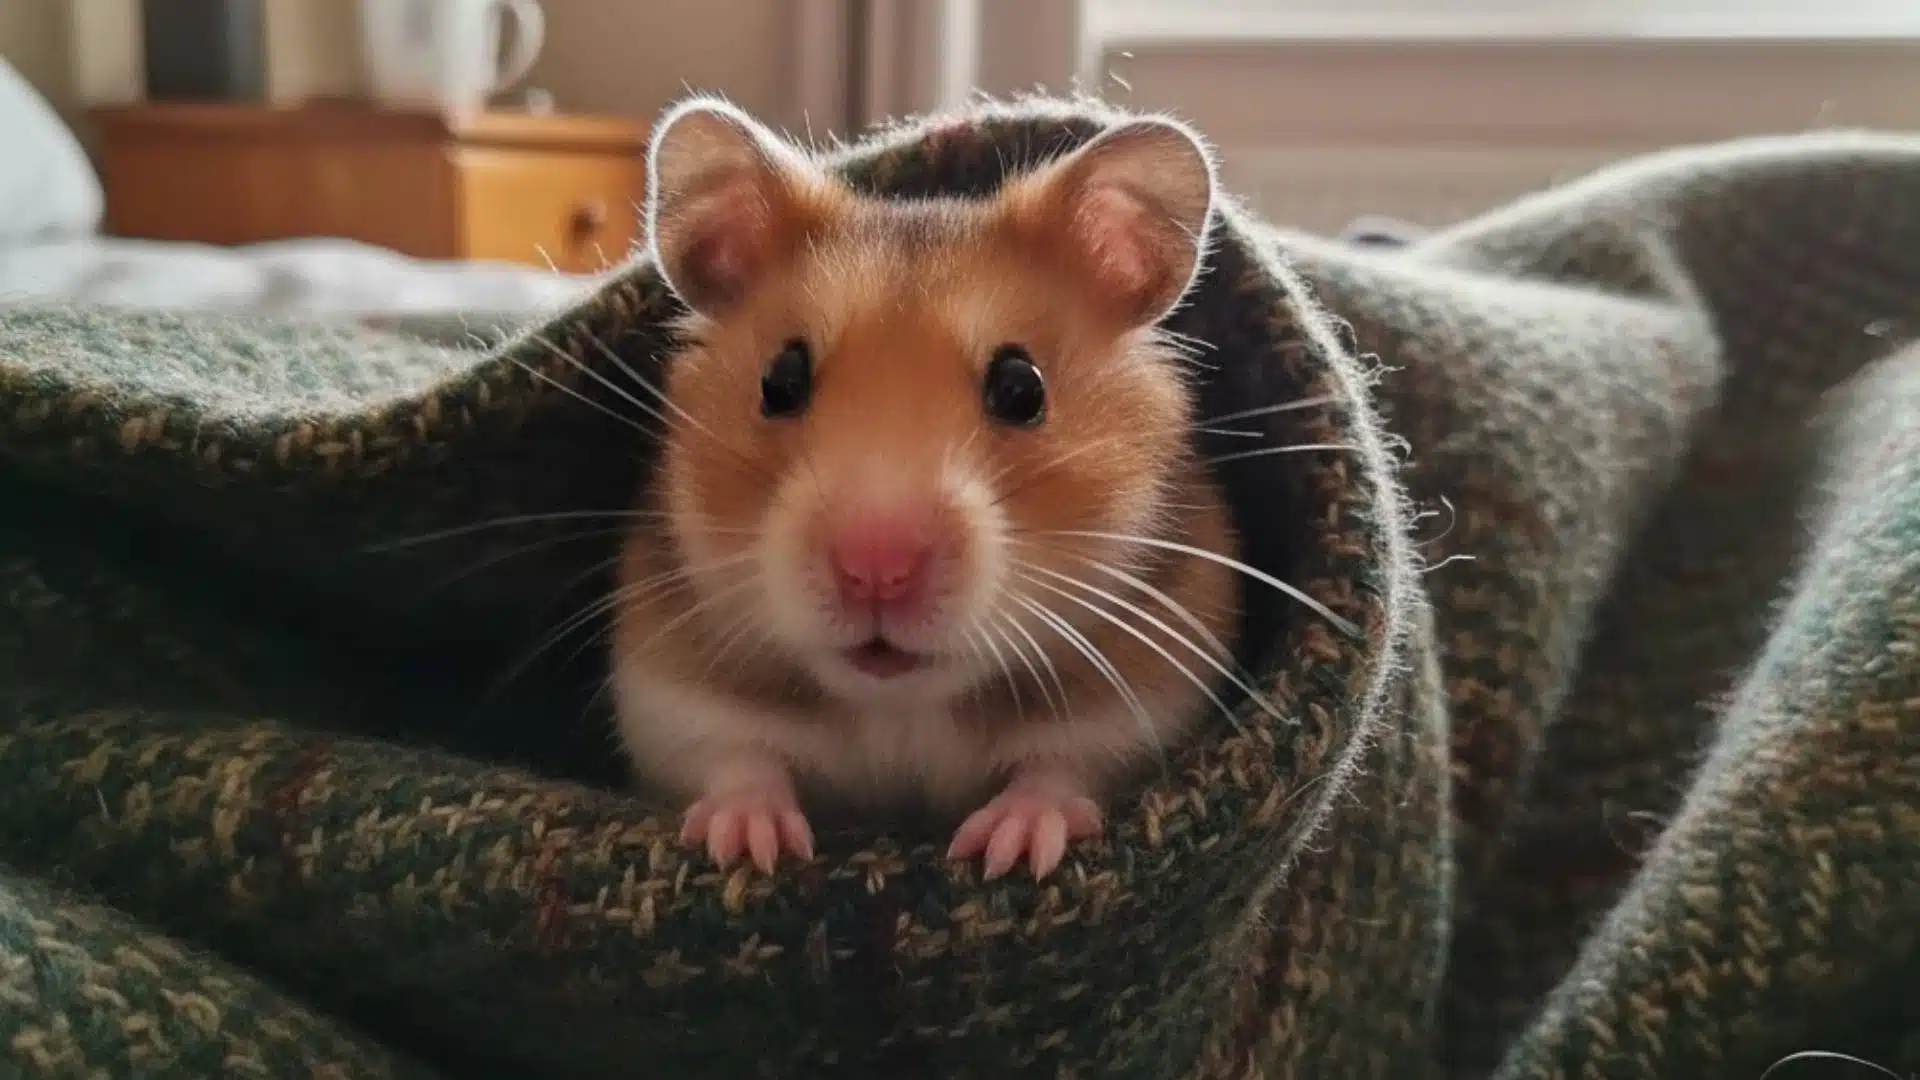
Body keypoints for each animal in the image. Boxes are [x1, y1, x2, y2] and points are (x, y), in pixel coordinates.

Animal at [610, 98, 1240, 881]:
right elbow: (734, 757)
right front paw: (750, 845)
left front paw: (1012, 850)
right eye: (779, 382)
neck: (898, 706)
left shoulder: (1147, 699)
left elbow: (1064, 769)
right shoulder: (666, 696)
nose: (876, 570)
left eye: (1022, 388)